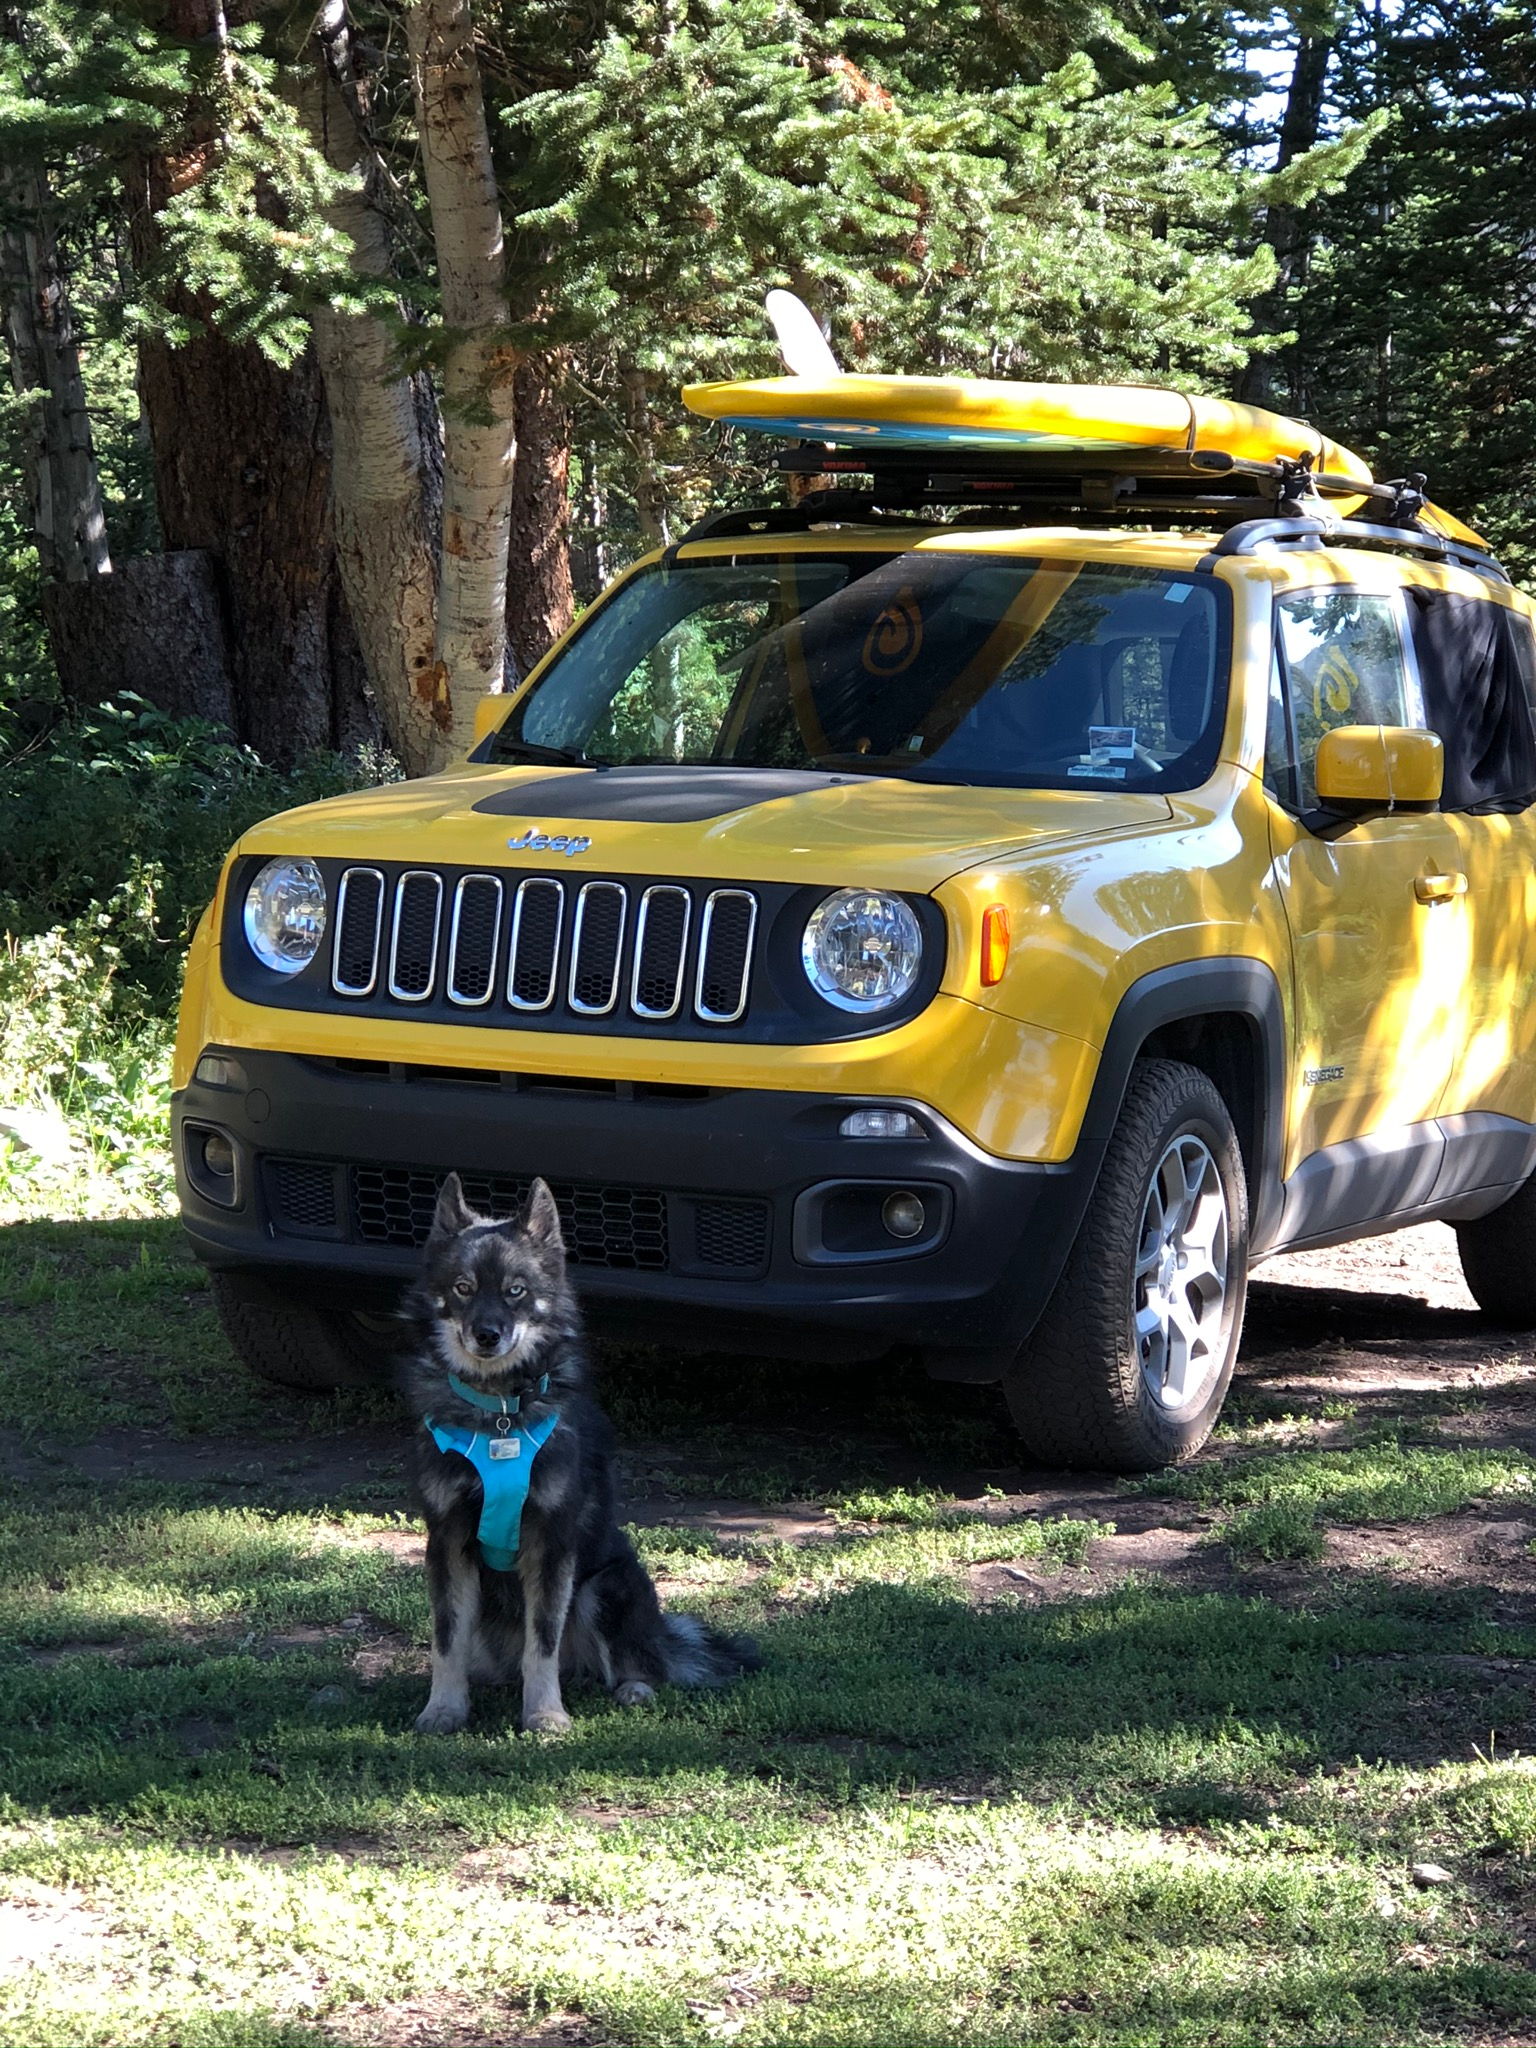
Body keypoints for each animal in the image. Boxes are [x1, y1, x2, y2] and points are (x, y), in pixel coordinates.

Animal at [397, 1171, 757, 1728]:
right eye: (463, 1288)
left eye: (516, 1290)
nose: (487, 1335)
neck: (500, 1412)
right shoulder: (449, 1540)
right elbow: (446, 1640)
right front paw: (444, 1709)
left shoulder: (551, 1542)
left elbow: (542, 1641)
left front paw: (545, 1715)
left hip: (606, 1586)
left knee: (640, 1663)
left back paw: (633, 1688)